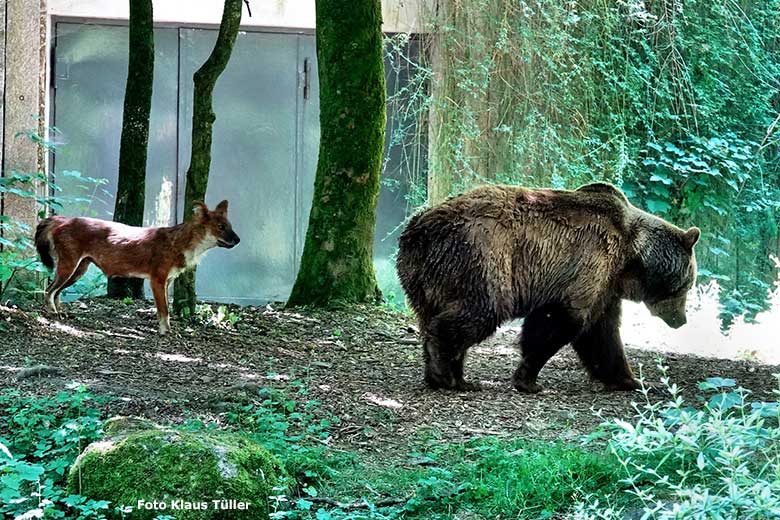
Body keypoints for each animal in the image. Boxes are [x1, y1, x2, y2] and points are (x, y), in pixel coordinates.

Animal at [396, 184, 700, 394]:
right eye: (688, 284)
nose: (681, 320)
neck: (630, 258)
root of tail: (416, 231)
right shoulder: (588, 263)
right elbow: (559, 323)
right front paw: (529, 380)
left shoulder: (604, 287)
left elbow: (602, 336)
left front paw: (629, 380)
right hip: (480, 259)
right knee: (477, 313)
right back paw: (445, 375)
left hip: (424, 279)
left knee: (438, 317)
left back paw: (457, 377)